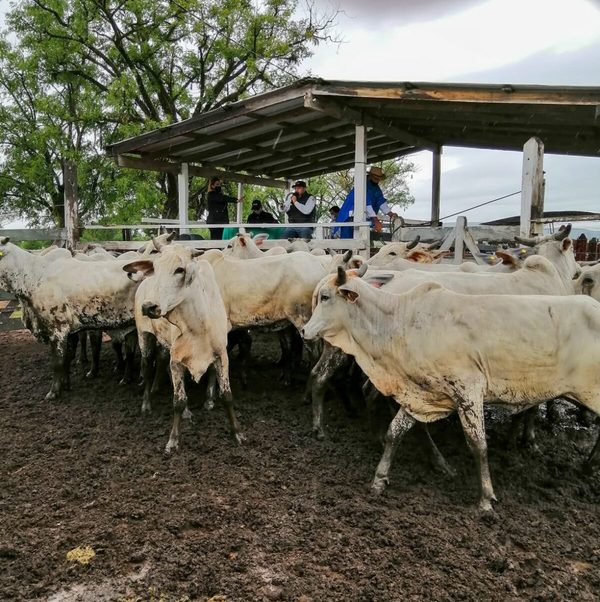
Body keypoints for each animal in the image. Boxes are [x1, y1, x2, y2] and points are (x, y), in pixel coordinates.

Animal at [302, 268, 600, 506]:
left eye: (326, 297)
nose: (305, 330)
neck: (401, 321)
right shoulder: (422, 394)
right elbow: (394, 432)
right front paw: (379, 479)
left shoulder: (468, 390)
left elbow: (478, 444)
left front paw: (486, 498)